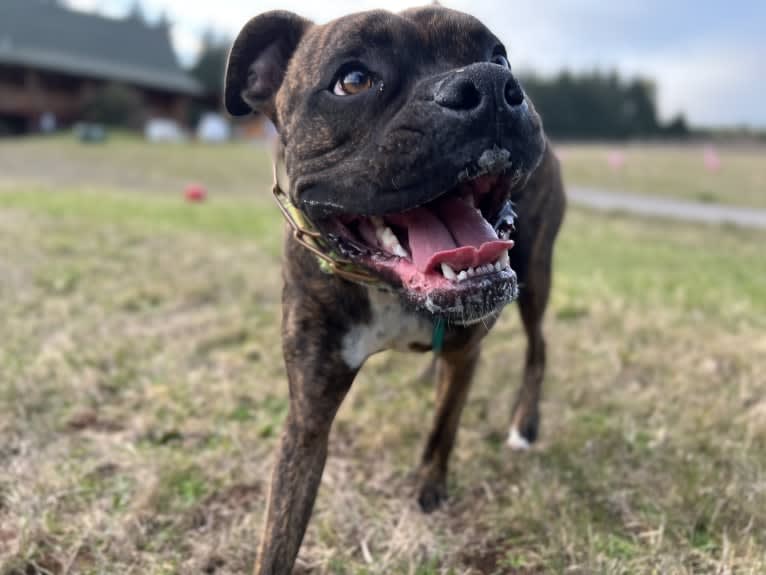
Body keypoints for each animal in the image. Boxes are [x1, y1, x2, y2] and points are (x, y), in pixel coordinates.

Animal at [225, 6, 568, 572]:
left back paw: (525, 424)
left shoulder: (466, 351)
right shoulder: (308, 416)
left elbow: (443, 427)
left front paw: (428, 488)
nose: (490, 85)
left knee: (538, 346)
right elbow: (280, 532)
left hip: (536, 271)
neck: (388, 285)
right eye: (353, 80)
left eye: (499, 57)